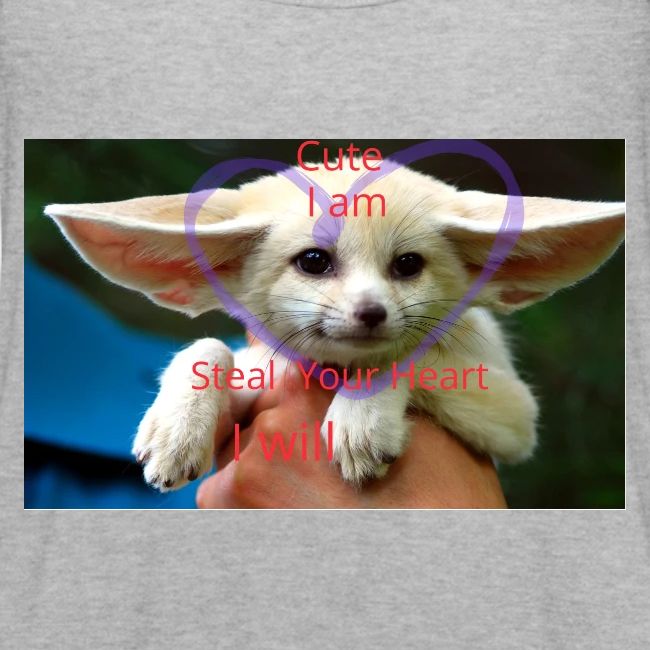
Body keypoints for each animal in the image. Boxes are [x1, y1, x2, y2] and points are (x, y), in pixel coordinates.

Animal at [45, 160, 625, 490]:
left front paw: (362, 421)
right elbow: (207, 345)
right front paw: (175, 431)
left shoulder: (516, 417)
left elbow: (408, 356)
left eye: (408, 265)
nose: (371, 313)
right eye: (314, 262)